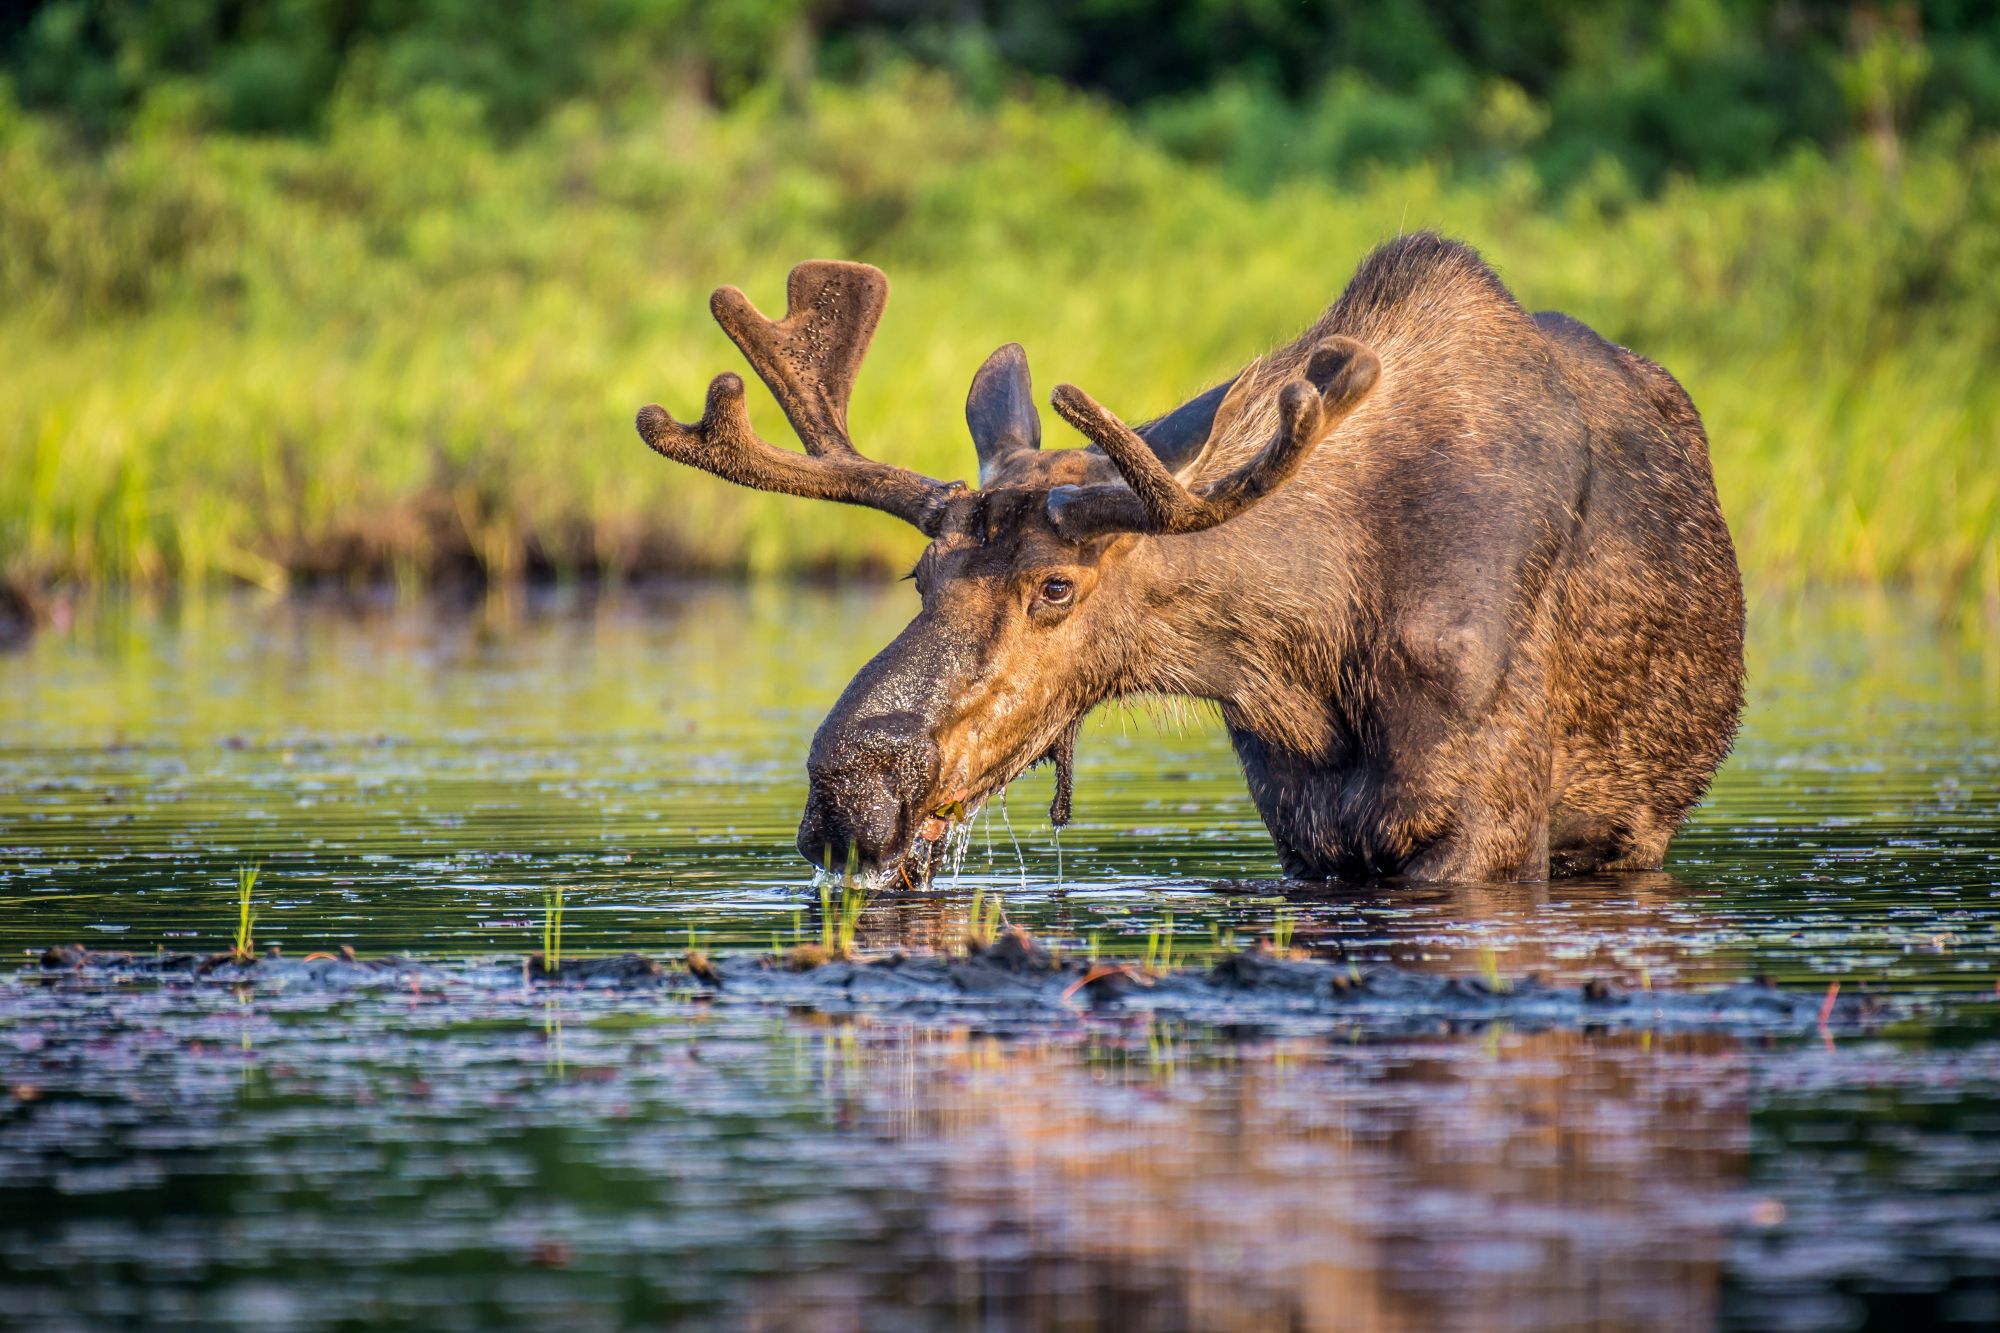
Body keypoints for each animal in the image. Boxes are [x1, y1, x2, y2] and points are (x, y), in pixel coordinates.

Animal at [632, 233, 1744, 880]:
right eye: (920, 577)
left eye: (1055, 586)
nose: (847, 786)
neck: (1314, 650)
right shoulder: (1302, 826)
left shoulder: (1488, 826)